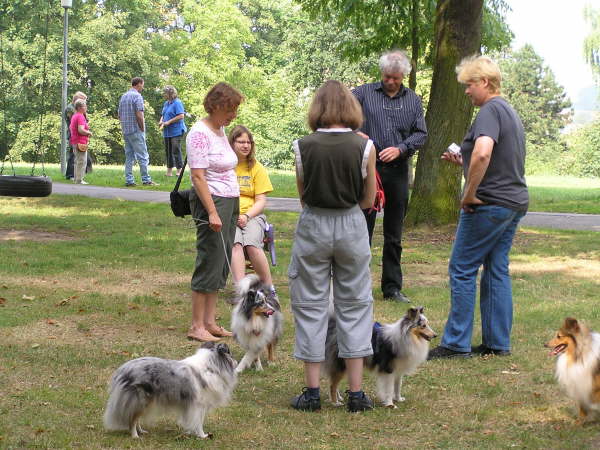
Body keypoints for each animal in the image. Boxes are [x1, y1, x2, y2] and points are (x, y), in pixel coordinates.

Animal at [103, 342, 237, 438]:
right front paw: (202, 436)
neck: (210, 367)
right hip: (140, 400)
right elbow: (199, 422)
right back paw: (135, 436)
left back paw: (142, 431)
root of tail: (121, 370)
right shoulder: (199, 405)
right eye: (230, 353)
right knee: (133, 420)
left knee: (136, 418)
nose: (236, 362)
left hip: (142, 403)